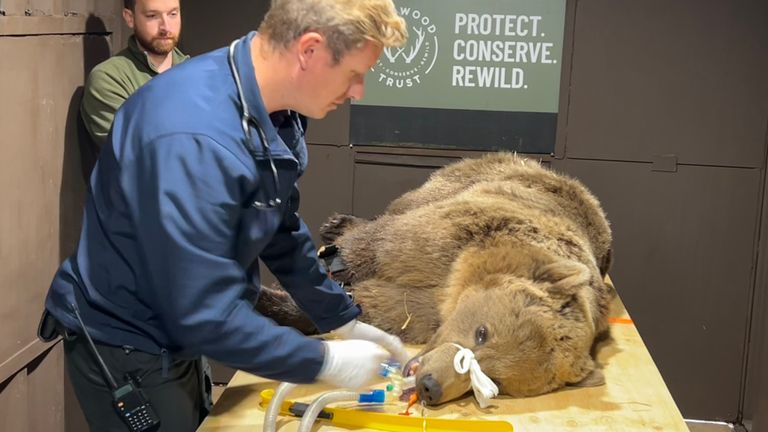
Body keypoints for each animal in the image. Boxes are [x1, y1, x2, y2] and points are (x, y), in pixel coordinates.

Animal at [258, 154, 616, 406]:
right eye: (482, 332)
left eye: (496, 382)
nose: (430, 387)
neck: (456, 279)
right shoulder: (449, 238)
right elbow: (379, 249)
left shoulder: (425, 309)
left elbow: (382, 307)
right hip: (461, 180)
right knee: (401, 207)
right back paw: (338, 225)